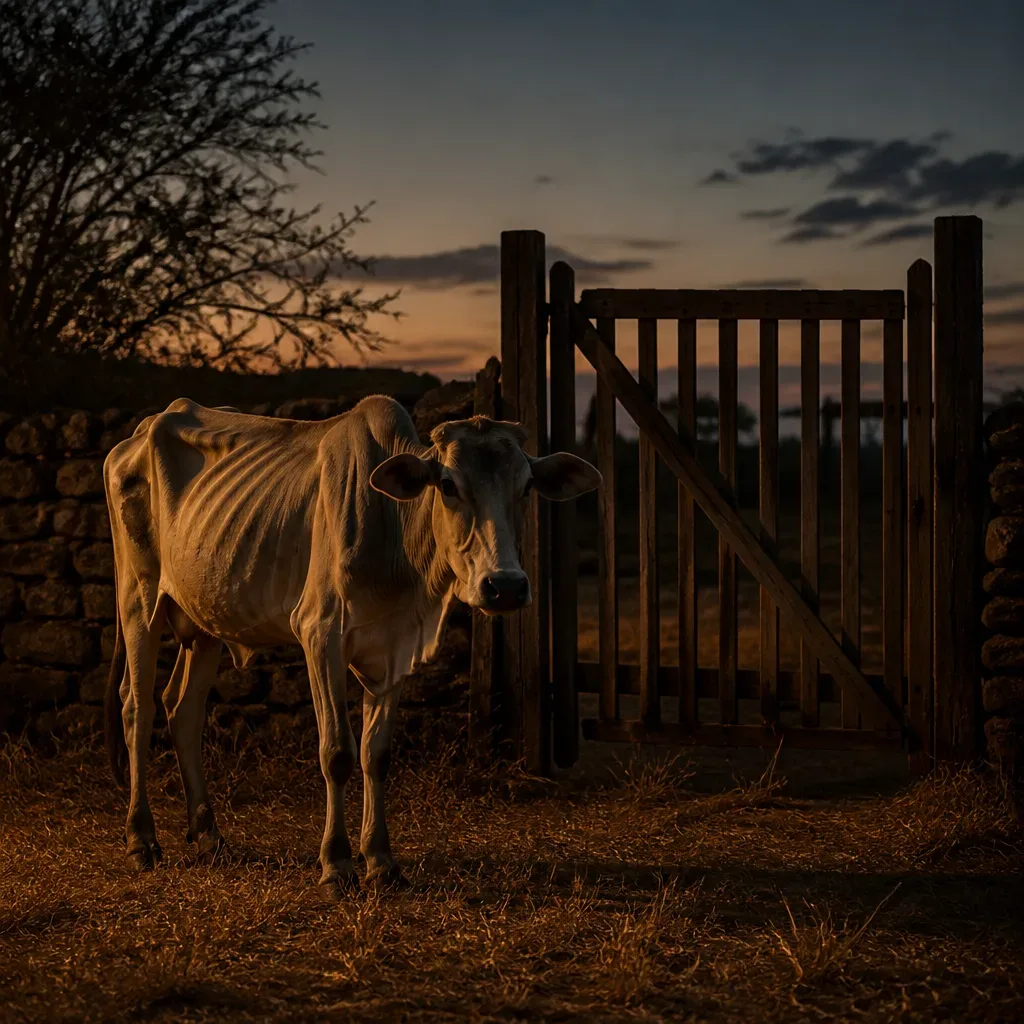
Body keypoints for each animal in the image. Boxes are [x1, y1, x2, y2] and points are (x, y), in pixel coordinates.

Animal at [103, 394, 601, 896]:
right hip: (139, 598)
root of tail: (140, 431)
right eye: (447, 484)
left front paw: (380, 860)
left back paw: (208, 834)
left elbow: (375, 754)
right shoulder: (320, 634)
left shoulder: (395, 648)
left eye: (526, 486)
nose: (506, 587)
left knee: (182, 708)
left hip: (205, 618)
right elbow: (337, 752)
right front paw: (337, 863)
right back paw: (140, 839)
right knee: (136, 707)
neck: (393, 530)